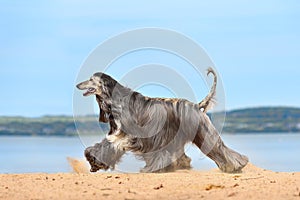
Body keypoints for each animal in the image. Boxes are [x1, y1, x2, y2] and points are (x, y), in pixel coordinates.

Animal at [77, 68, 248, 172]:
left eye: (91, 79)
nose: (78, 84)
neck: (115, 100)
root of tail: (196, 105)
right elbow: (105, 144)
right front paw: (93, 159)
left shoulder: (131, 136)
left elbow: (112, 144)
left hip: (203, 132)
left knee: (219, 148)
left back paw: (235, 166)